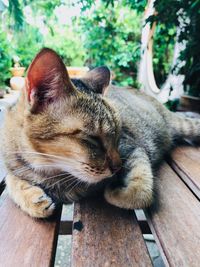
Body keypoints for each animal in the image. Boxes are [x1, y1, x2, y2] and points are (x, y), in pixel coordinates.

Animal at [1, 48, 200, 220]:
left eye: (118, 136)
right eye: (93, 139)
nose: (118, 167)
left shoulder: (133, 148)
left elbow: (139, 192)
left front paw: (115, 192)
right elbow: (11, 179)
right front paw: (31, 197)